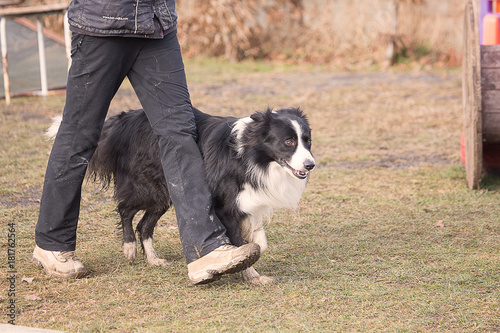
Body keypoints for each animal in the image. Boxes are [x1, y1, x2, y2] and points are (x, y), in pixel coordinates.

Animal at [56, 107, 314, 284]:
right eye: (288, 142)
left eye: (308, 141)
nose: (310, 165)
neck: (252, 154)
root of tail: (125, 120)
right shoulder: (225, 206)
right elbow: (241, 241)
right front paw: (250, 273)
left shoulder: (249, 202)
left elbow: (259, 241)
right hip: (149, 186)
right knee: (126, 210)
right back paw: (129, 248)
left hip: (166, 192)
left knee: (145, 224)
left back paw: (153, 259)